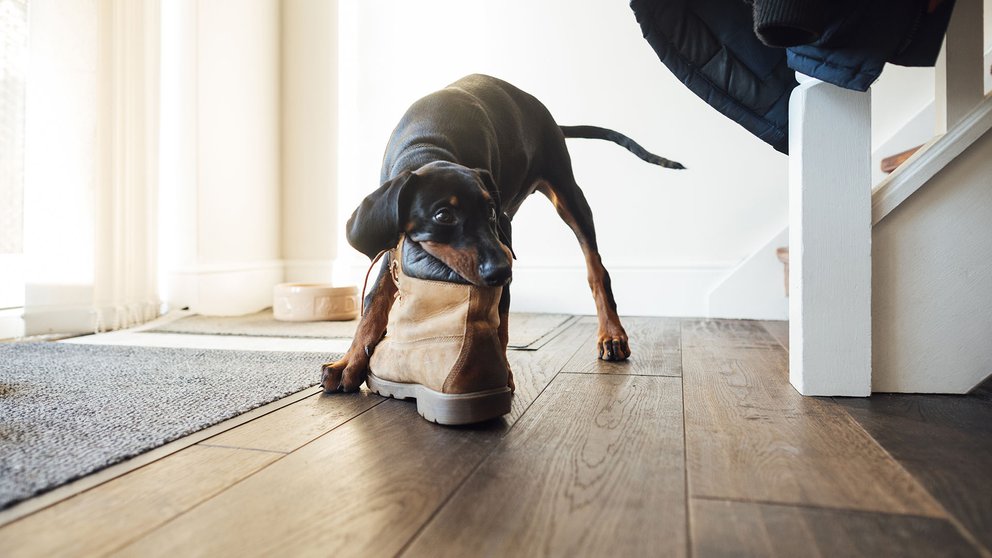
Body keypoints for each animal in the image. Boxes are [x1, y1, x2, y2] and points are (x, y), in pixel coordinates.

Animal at [324, 74, 680, 394]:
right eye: (444, 215)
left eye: (490, 212)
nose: (501, 271)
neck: (429, 147)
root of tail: (549, 118)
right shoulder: (394, 242)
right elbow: (373, 304)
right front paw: (348, 364)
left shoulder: (502, 235)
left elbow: (501, 318)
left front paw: (499, 372)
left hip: (567, 194)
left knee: (596, 268)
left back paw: (612, 334)